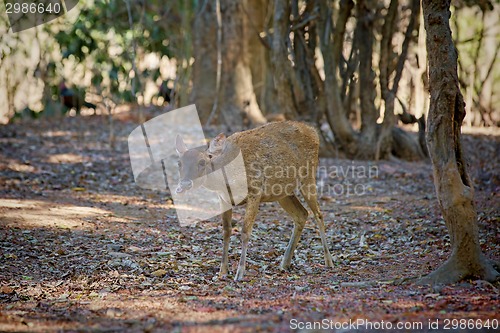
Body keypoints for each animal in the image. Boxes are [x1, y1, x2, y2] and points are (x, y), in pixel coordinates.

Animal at [174, 120, 334, 280]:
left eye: (202, 162)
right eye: (179, 163)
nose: (184, 184)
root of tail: (313, 131)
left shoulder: (255, 191)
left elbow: (245, 231)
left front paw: (239, 273)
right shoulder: (223, 198)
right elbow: (226, 231)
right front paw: (222, 271)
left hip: (308, 177)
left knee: (318, 215)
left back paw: (328, 262)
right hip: (282, 192)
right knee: (302, 214)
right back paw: (285, 263)